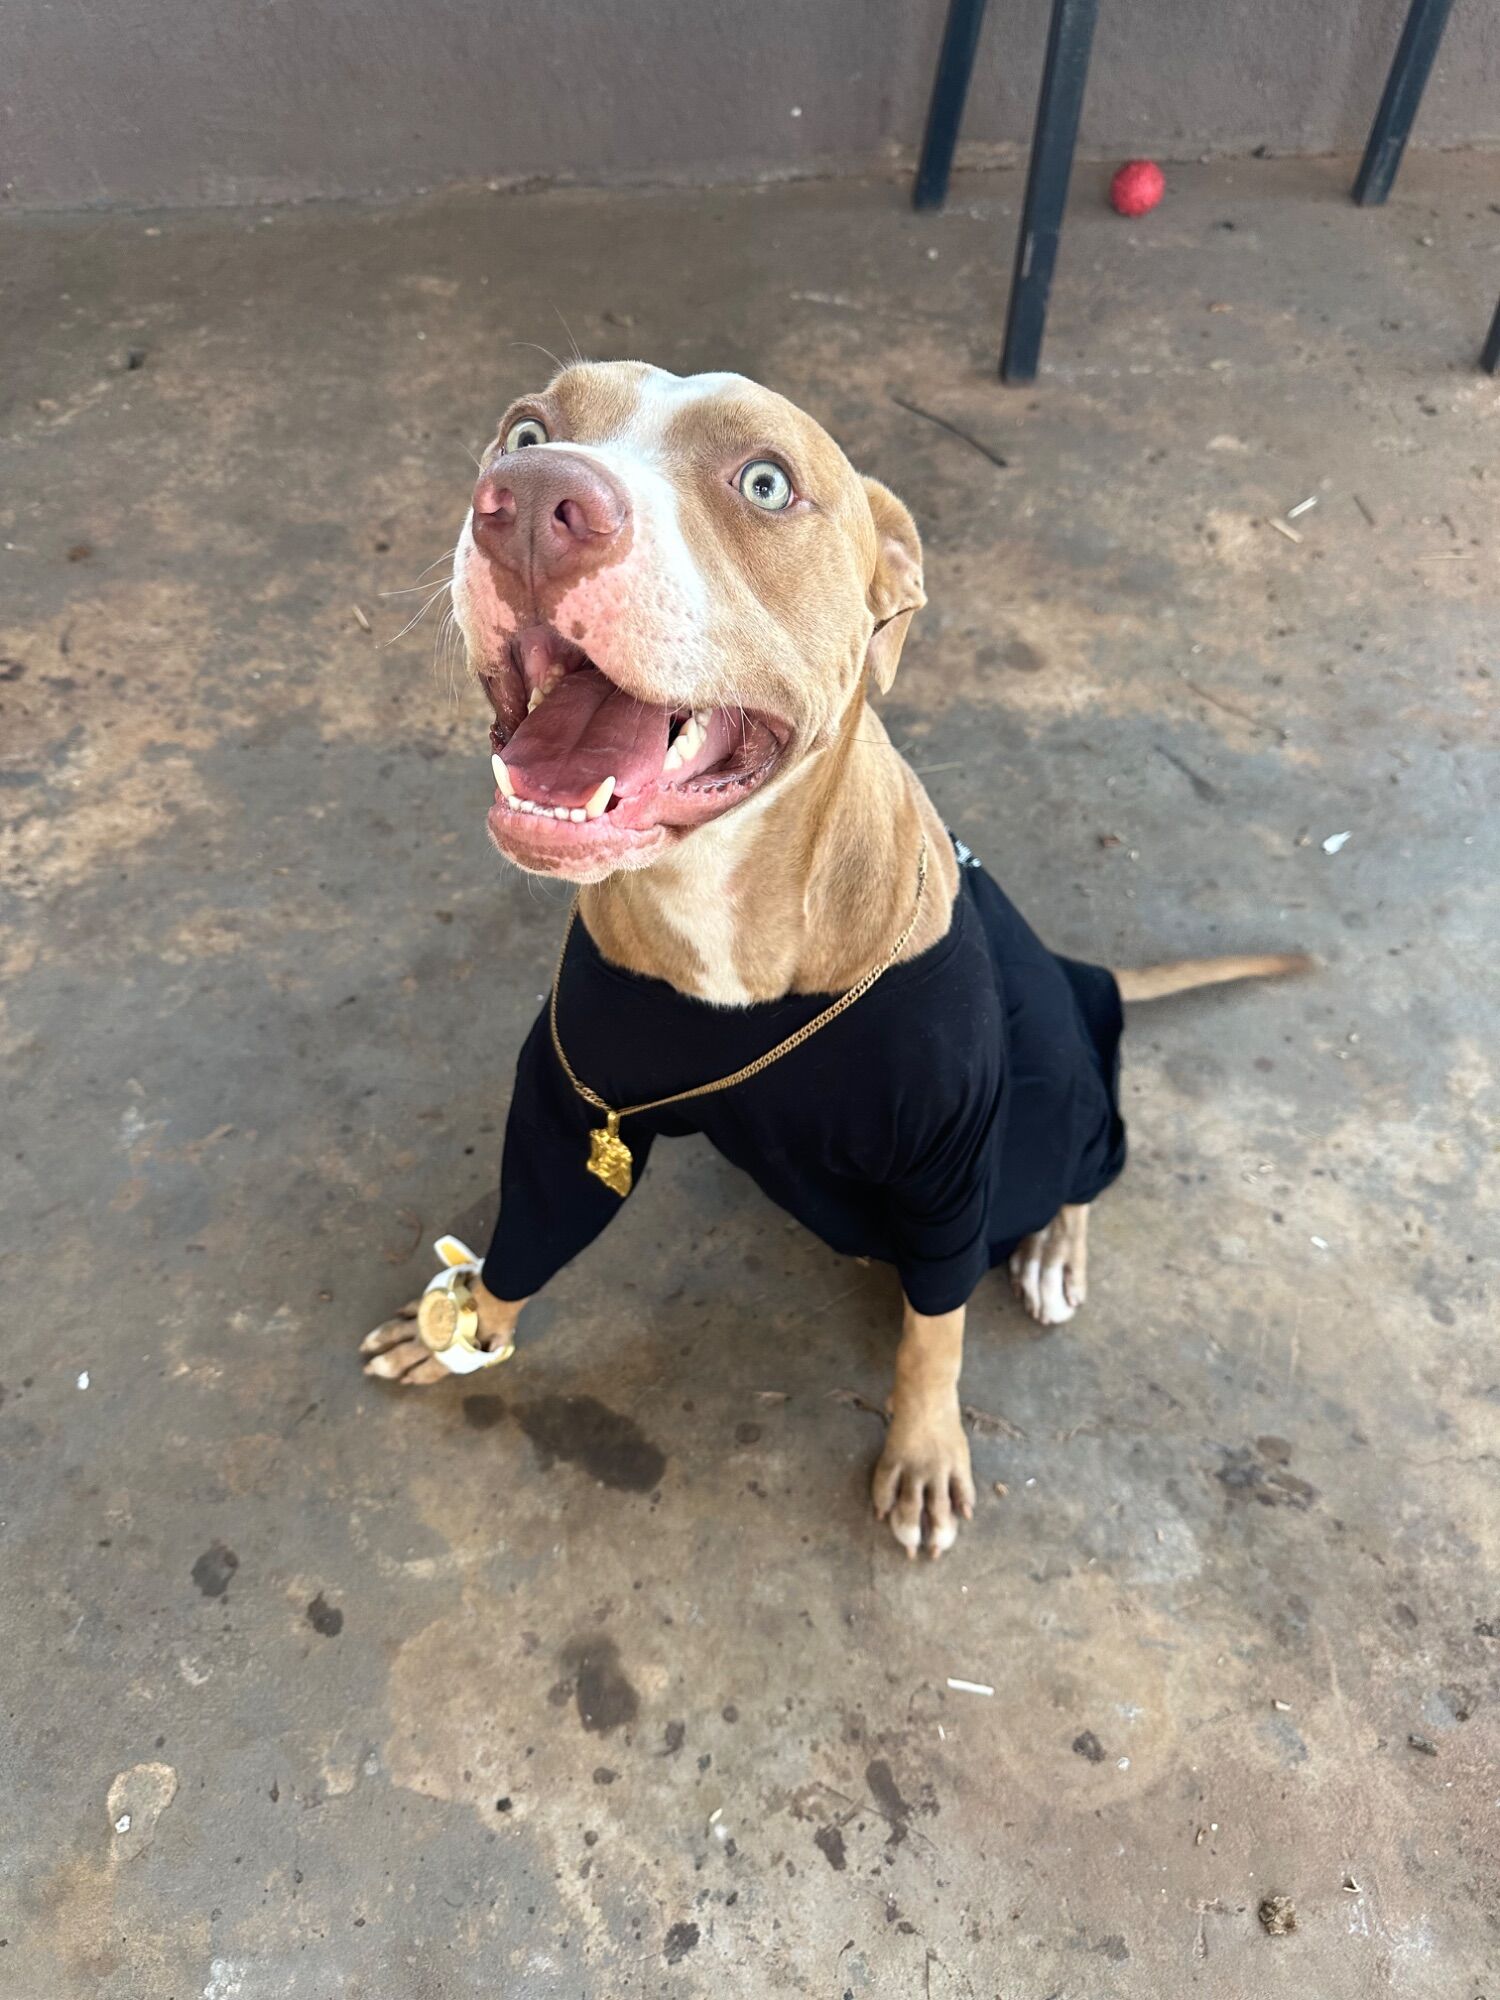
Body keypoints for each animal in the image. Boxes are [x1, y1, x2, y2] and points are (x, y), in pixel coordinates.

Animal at [360, 362, 1304, 1558]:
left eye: (765, 482)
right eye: (525, 432)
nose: (528, 503)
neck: (726, 908)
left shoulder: (955, 1159)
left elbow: (936, 1331)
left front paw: (925, 1448)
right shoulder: (571, 1109)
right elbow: (532, 1223)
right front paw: (470, 1318)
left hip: (1052, 1100)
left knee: (1082, 1158)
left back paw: (1053, 1247)